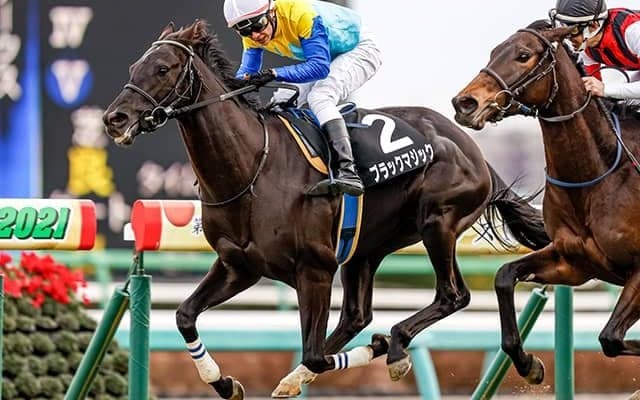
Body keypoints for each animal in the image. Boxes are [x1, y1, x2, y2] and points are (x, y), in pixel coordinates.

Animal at [103, 20, 548, 399]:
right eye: (134, 66)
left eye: (162, 68)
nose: (114, 118)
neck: (252, 168)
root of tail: (472, 148)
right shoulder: (238, 266)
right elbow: (184, 316)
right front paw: (225, 382)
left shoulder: (313, 270)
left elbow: (315, 353)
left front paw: (380, 348)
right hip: (367, 248)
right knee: (357, 315)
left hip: (438, 224)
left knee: (451, 295)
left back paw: (396, 347)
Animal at [453, 20, 640, 385]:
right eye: (494, 52)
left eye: (523, 55)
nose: (464, 103)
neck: (597, 177)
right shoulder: (573, 264)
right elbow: (504, 276)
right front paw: (530, 365)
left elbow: (611, 338)